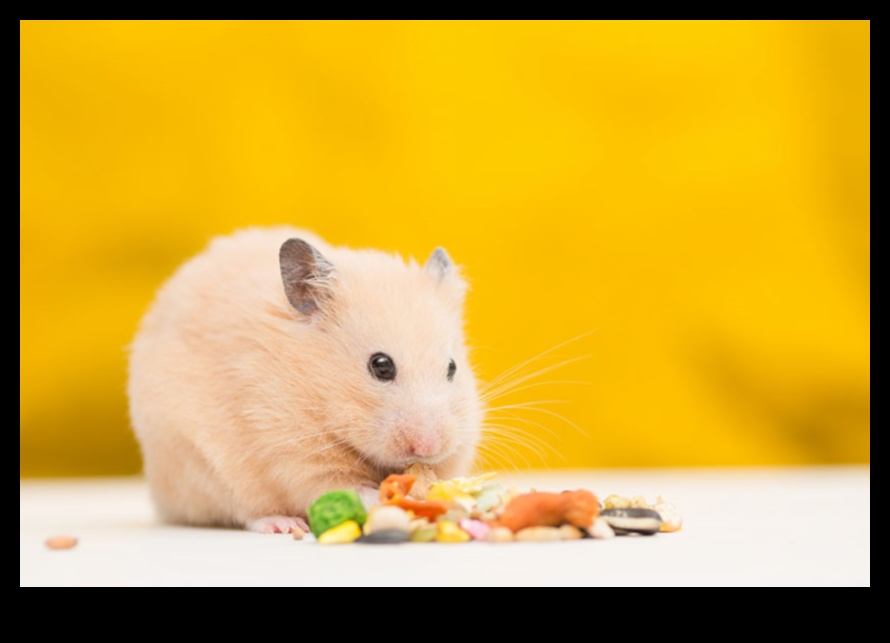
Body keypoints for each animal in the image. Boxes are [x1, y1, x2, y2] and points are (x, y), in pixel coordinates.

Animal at [127, 227, 482, 533]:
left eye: (452, 367)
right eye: (380, 366)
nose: (429, 446)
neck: (318, 389)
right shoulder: (293, 451)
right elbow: (341, 486)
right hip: (198, 466)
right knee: (242, 510)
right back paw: (283, 524)